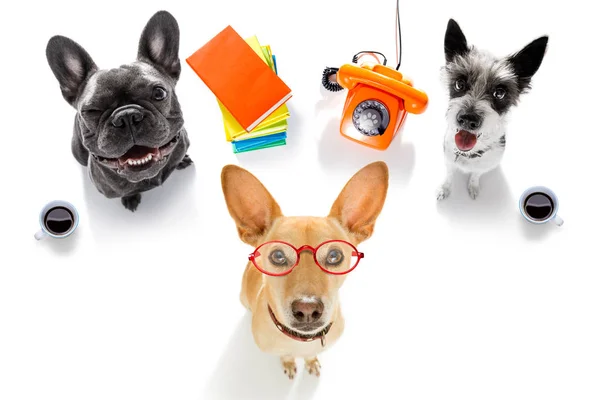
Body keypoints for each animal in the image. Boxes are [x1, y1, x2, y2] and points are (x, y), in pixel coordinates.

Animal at [221, 162, 390, 378]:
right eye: (278, 256)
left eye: (335, 255)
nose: (308, 308)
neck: (301, 341)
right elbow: (285, 355)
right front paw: (288, 362)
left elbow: (311, 355)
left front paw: (311, 361)